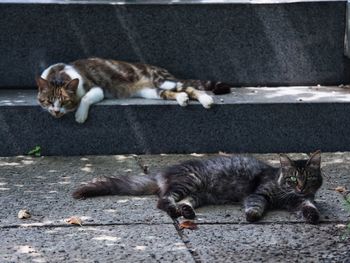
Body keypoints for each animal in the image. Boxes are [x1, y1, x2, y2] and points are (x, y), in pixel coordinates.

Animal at [37, 57, 231, 124]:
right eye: (48, 101)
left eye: (64, 101)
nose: (56, 111)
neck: (59, 74)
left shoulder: (96, 88)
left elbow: (85, 98)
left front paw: (80, 115)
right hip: (151, 92)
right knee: (173, 93)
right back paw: (181, 98)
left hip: (163, 81)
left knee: (190, 87)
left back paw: (206, 100)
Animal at [73, 152, 322, 224]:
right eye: (292, 179)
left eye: (309, 178)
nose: (300, 187)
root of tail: (162, 172)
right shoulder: (259, 192)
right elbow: (256, 204)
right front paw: (253, 215)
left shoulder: (300, 201)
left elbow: (309, 206)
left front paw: (312, 215)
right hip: (188, 182)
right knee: (163, 201)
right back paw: (175, 211)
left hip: (197, 194)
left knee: (183, 202)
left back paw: (186, 212)